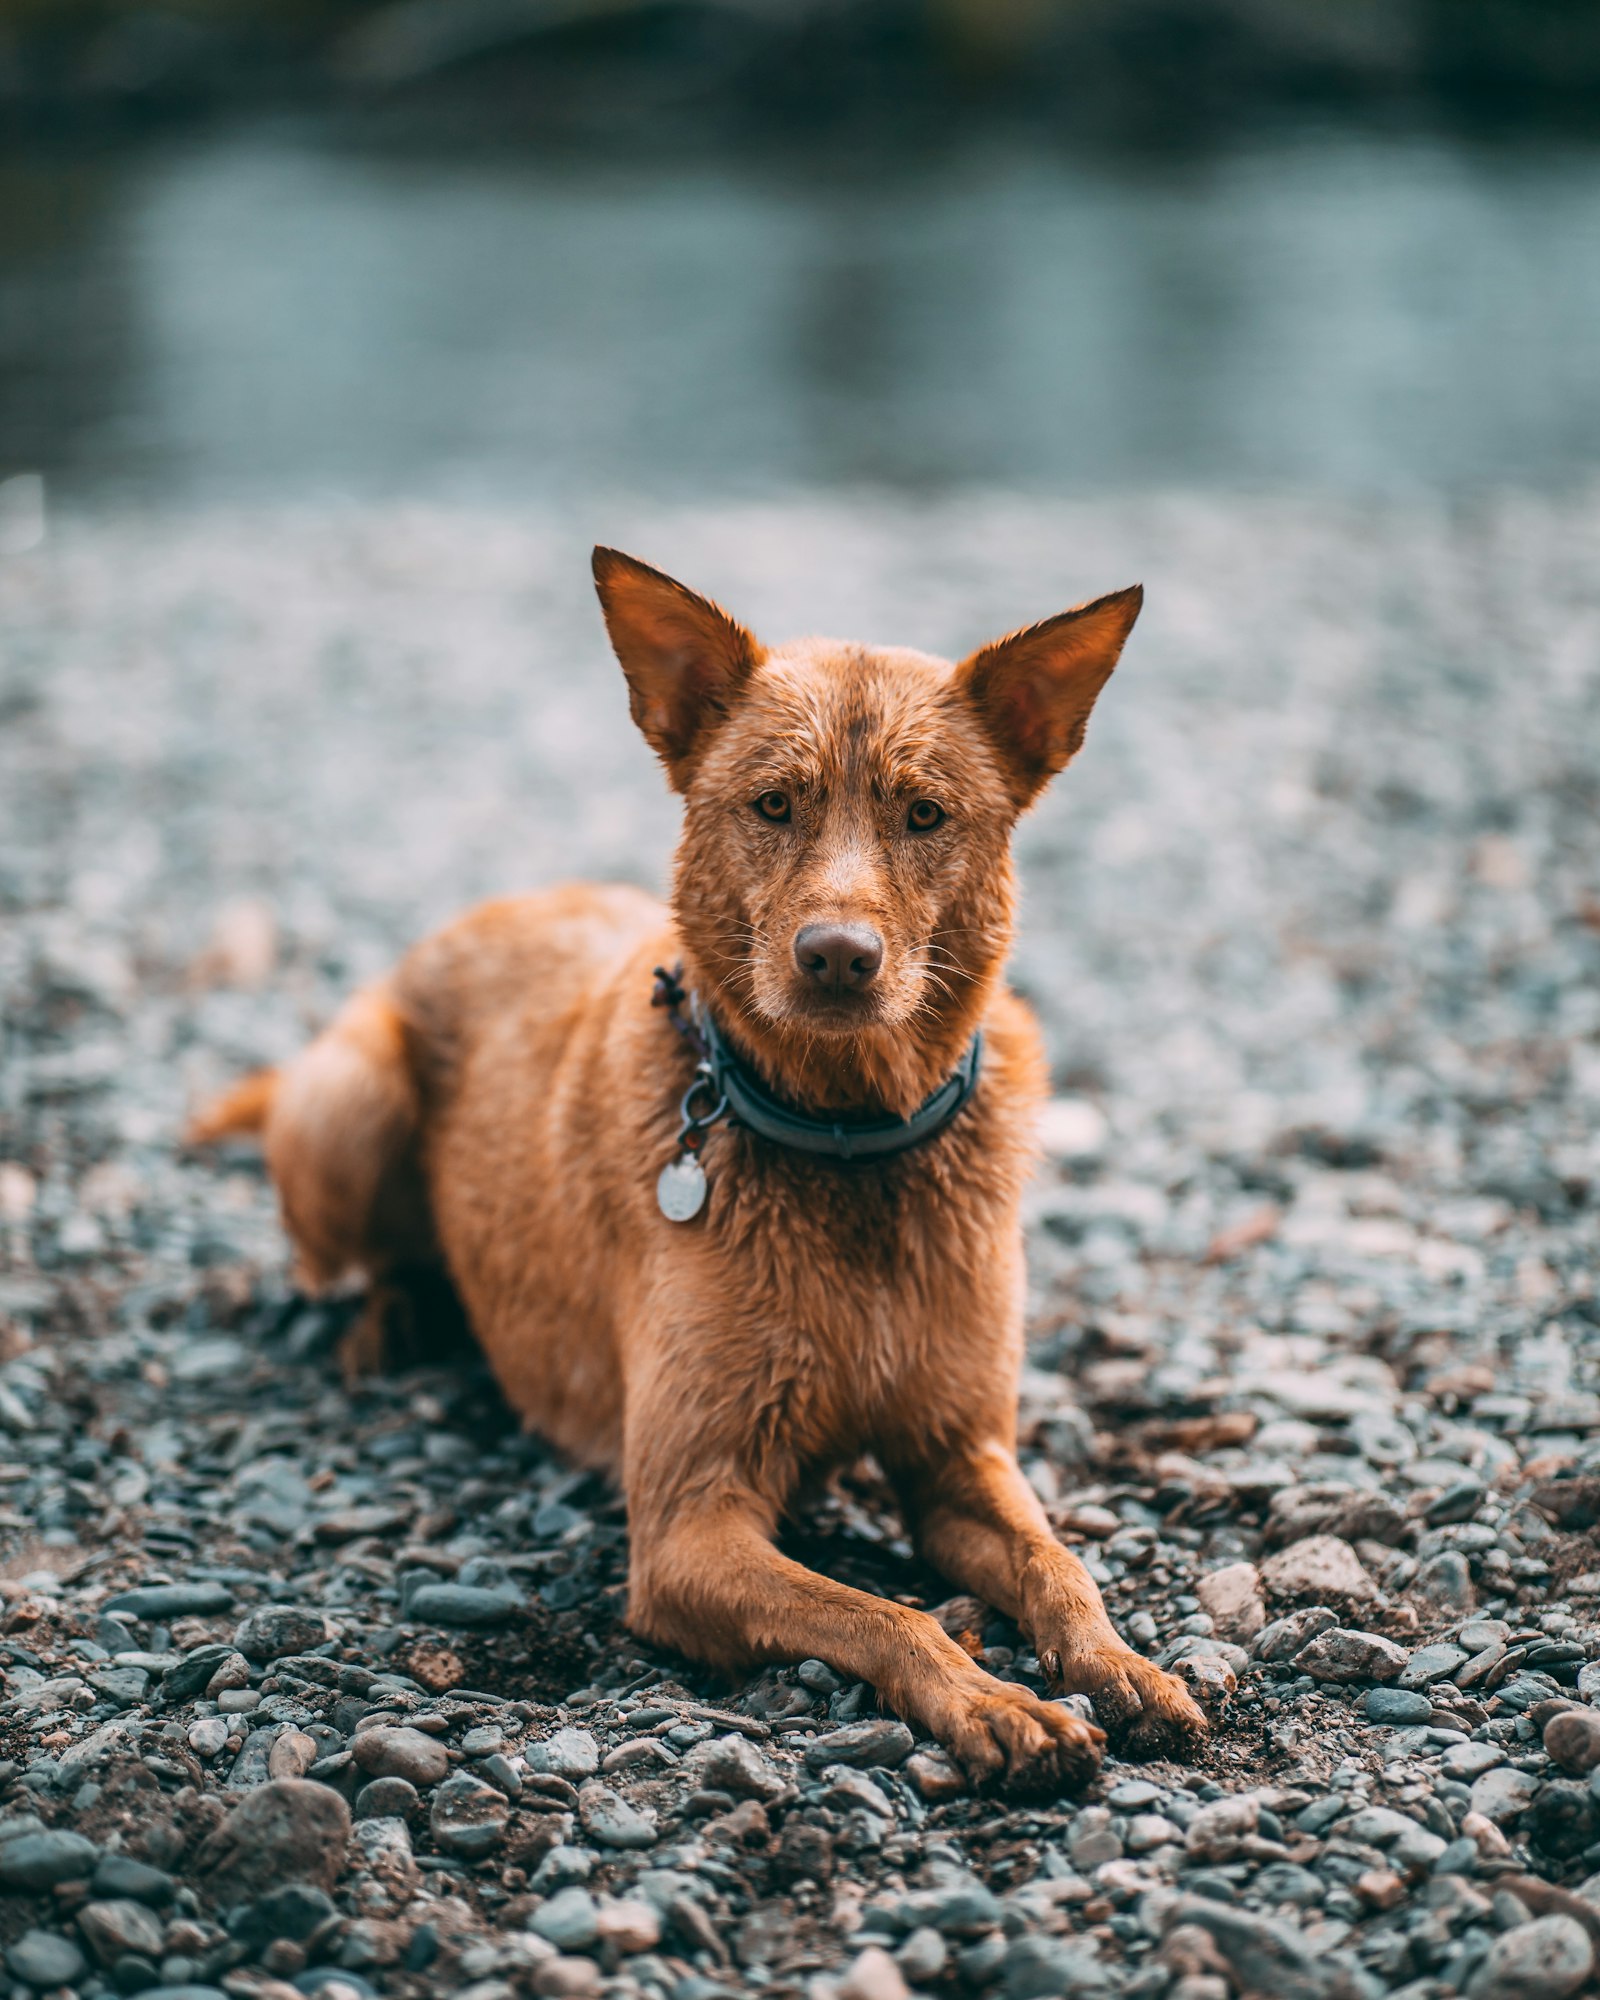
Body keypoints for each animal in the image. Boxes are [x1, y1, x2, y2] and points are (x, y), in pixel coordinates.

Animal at [191, 552, 1200, 1800]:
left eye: (926, 814)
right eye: (772, 805)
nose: (836, 956)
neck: (847, 1143)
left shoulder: (960, 1451)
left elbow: (1059, 1562)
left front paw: (1121, 1664)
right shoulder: (685, 1526)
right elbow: (888, 1614)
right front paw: (991, 1700)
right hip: (349, 1101)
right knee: (355, 1253)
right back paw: (394, 1319)